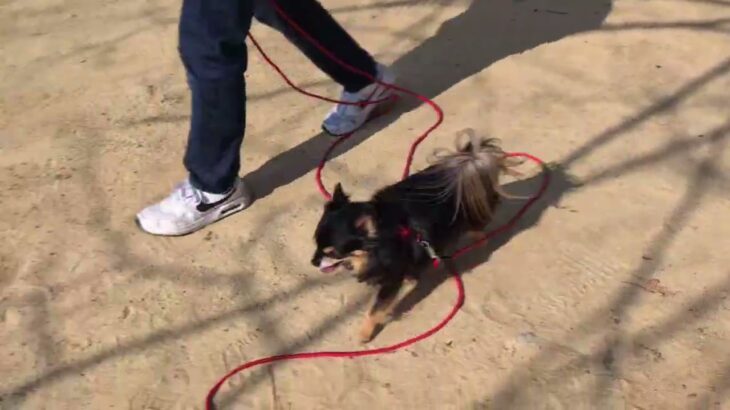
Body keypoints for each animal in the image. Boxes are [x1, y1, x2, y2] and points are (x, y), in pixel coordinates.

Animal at [310, 130, 520, 342]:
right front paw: (411, 279)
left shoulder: (391, 280)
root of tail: (471, 162)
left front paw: (364, 333)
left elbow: (374, 309)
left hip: (470, 215)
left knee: (478, 229)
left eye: (331, 252)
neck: (382, 238)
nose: (313, 262)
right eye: (316, 245)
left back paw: (478, 241)